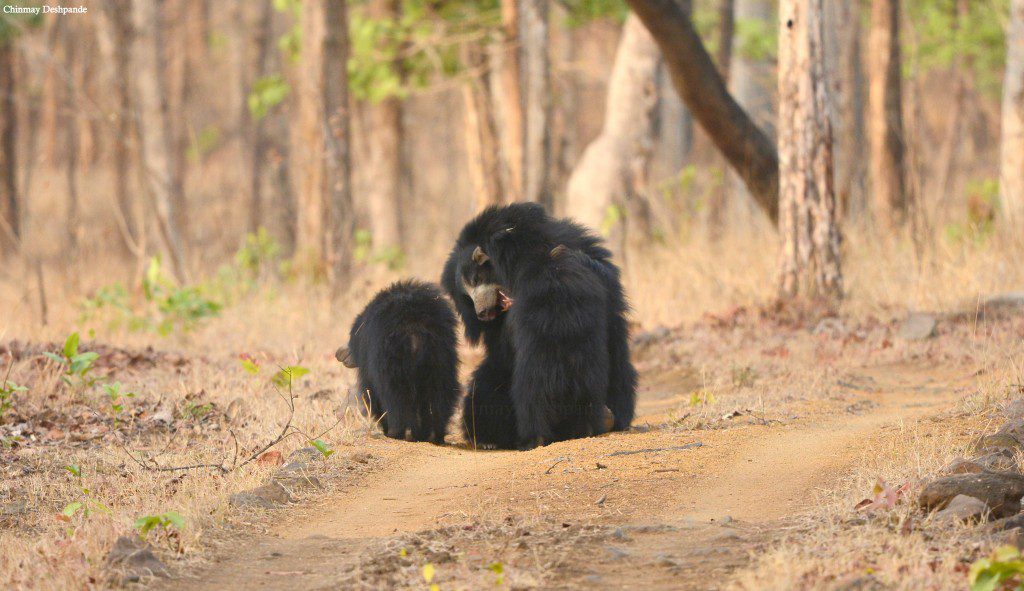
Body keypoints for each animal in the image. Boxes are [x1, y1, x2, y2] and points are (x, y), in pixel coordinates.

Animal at [335, 280, 460, 442]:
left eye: (350, 339)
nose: (339, 354)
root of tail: (415, 328)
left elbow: (371, 391)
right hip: (441, 354)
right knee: (441, 390)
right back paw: (434, 434)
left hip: (391, 358)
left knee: (393, 393)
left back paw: (398, 431)